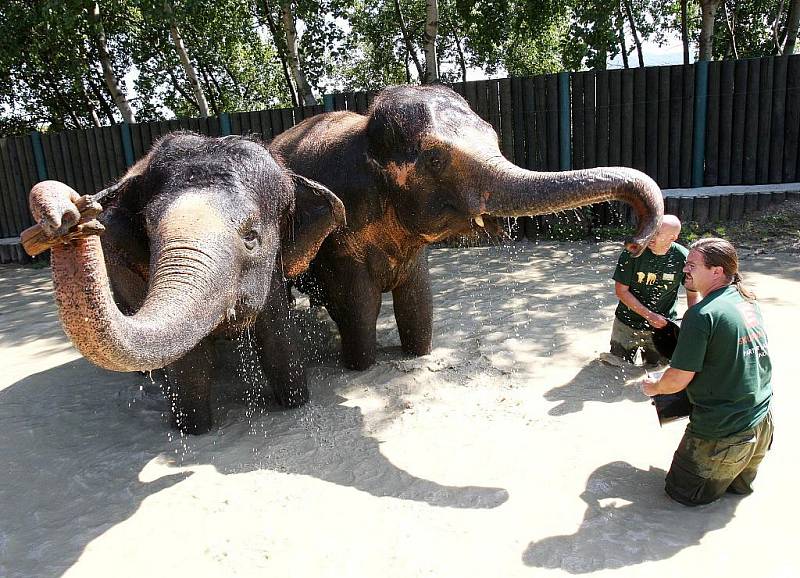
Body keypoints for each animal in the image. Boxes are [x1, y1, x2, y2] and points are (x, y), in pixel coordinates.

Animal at [28, 132, 344, 432]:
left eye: (251, 237)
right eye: (148, 228)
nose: (71, 215)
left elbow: (277, 333)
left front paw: (295, 402)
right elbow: (190, 359)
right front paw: (194, 429)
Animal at [272, 82, 664, 366]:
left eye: (494, 137)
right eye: (434, 159)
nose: (634, 242)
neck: (367, 136)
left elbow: (419, 301)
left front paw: (419, 353)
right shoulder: (342, 239)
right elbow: (360, 309)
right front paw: (359, 365)